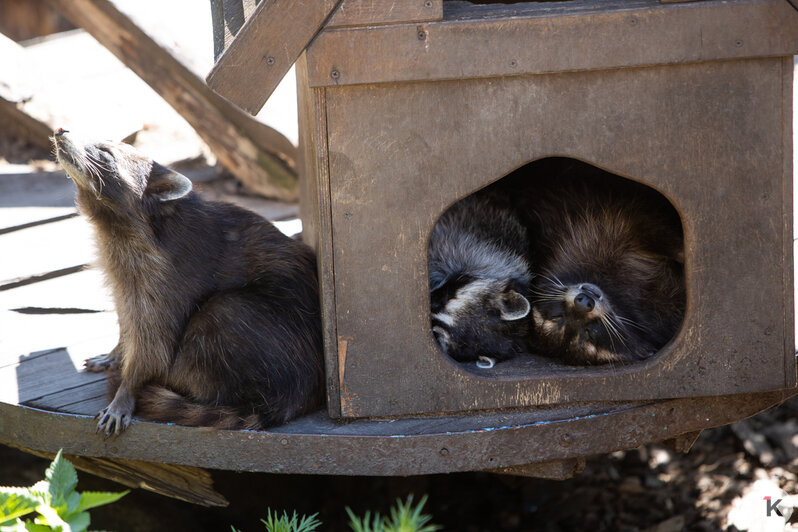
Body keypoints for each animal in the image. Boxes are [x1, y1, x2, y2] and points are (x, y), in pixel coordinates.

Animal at [53, 130, 324, 436]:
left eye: (104, 152)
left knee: (222, 310)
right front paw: (118, 350)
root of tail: (297, 395)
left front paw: (128, 387)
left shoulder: (165, 279)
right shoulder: (121, 268)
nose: (61, 131)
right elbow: (125, 313)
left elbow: (155, 343)